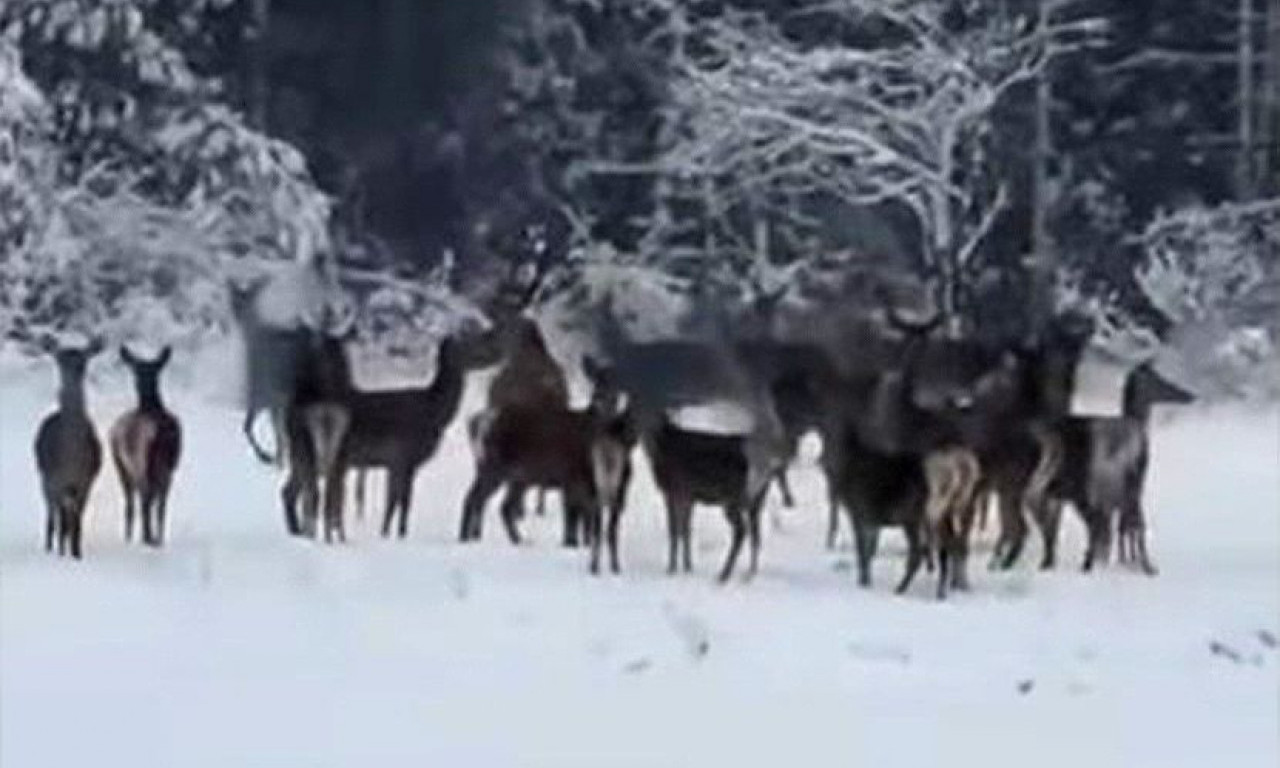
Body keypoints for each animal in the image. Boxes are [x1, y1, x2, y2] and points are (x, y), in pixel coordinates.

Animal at [34, 337, 104, 560]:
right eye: (59, 360)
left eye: (83, 361)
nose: (74, 373)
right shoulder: (54, 479)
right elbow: (59, 521)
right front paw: (61, 553)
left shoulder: (86, 481)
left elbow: (77, 523)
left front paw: (77, 554)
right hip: (44, 478)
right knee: (52, 516)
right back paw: (50, 547)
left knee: (67, 519)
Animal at [110, 345, 183, 547]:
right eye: (139, 370)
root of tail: (160, 431)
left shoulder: (120, 464)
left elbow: (130, 504)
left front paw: (129, 537)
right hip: (167, 468)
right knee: (160, 504)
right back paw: (157, 539)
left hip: (140, 464)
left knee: (143, 500)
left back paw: (146, 538)